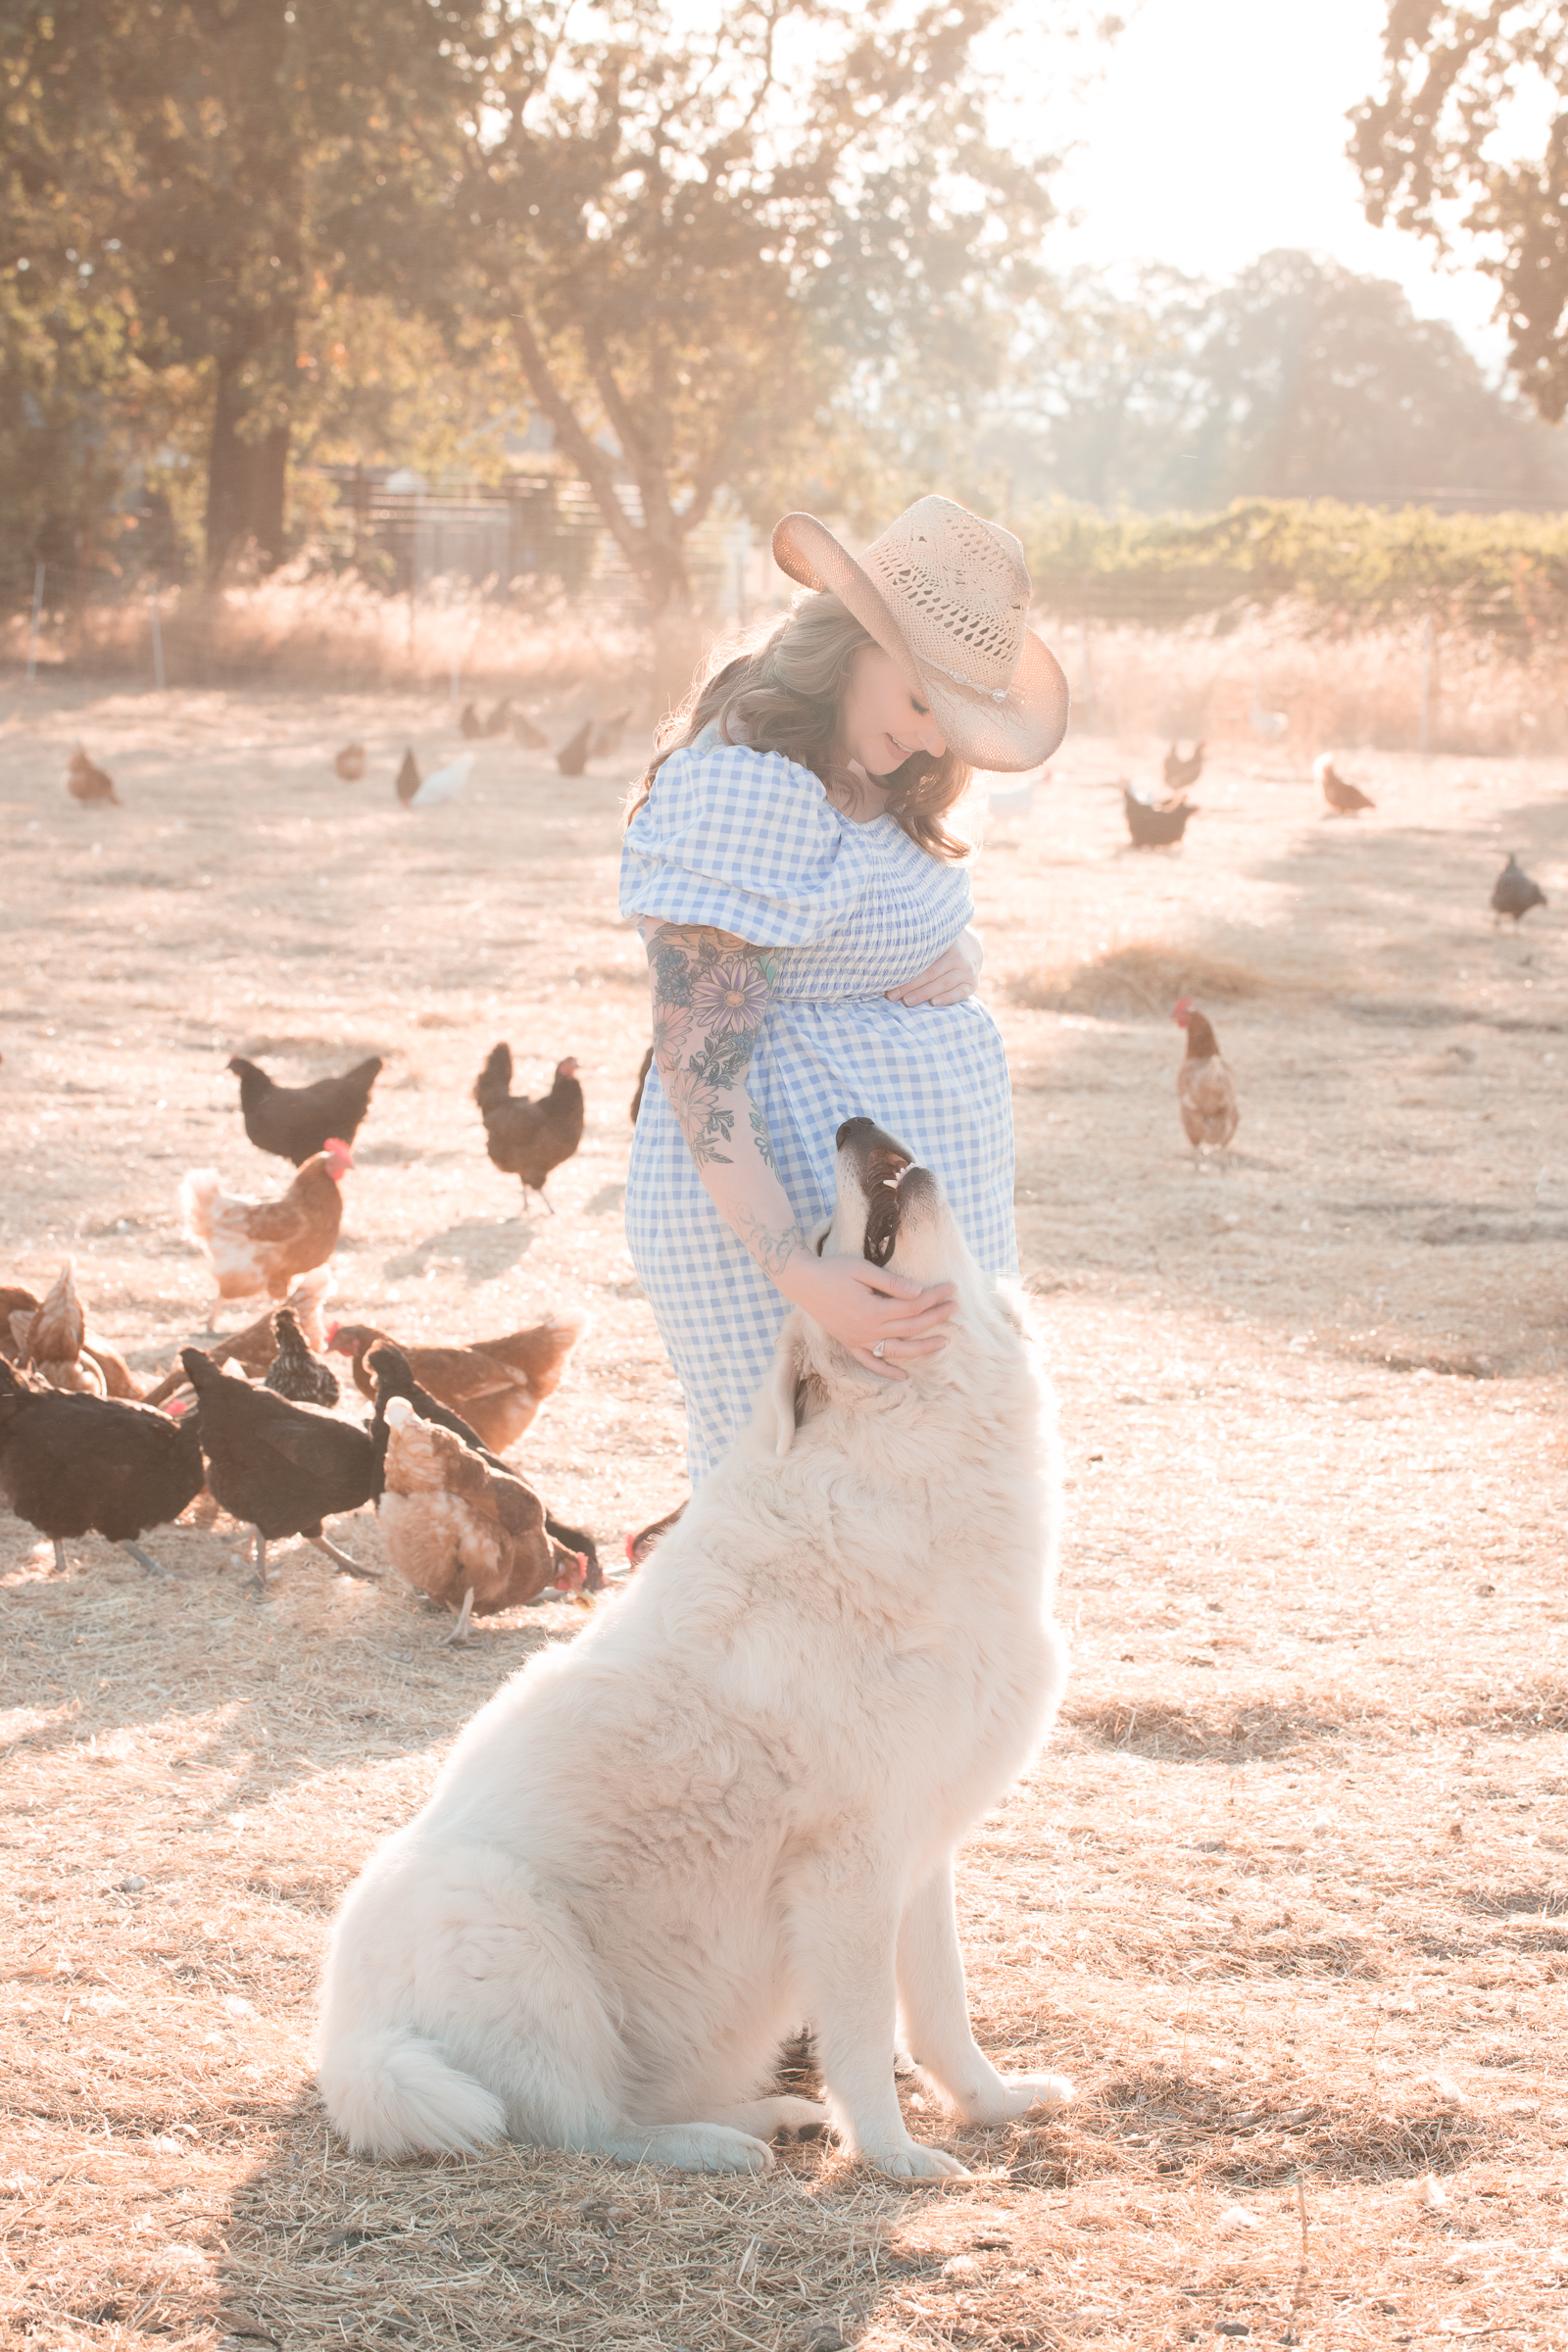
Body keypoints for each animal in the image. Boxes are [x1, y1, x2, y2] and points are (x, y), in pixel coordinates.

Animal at [319, 1109, 1081, 2173]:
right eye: (819, 1242)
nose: (853, 1122)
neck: (902, 1465)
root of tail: (348, 2055)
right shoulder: (849, 1866)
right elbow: (861, 2034)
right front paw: (894, 2160)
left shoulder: (923, 1846)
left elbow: (942, 2011)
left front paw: (994, 2107)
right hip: (506, 1930)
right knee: (582, 2125)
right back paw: (717, 2148)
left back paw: (771, 2118)